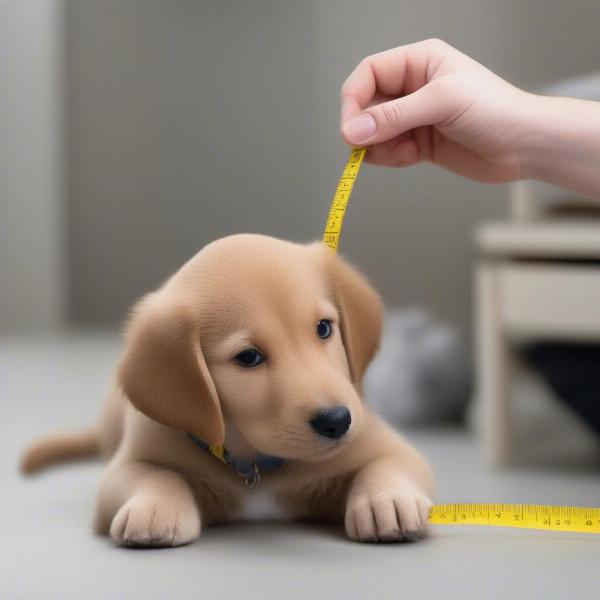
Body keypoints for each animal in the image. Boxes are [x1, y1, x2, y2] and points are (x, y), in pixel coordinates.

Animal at [22, 236, 436, 548]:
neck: (255, 465)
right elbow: (153, 474)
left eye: (323, 328)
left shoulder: (383, 443)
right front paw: (154, 509)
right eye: (248, 357)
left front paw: (389, 500)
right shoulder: (132, 459)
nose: (336, 421)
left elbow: (390, 464)